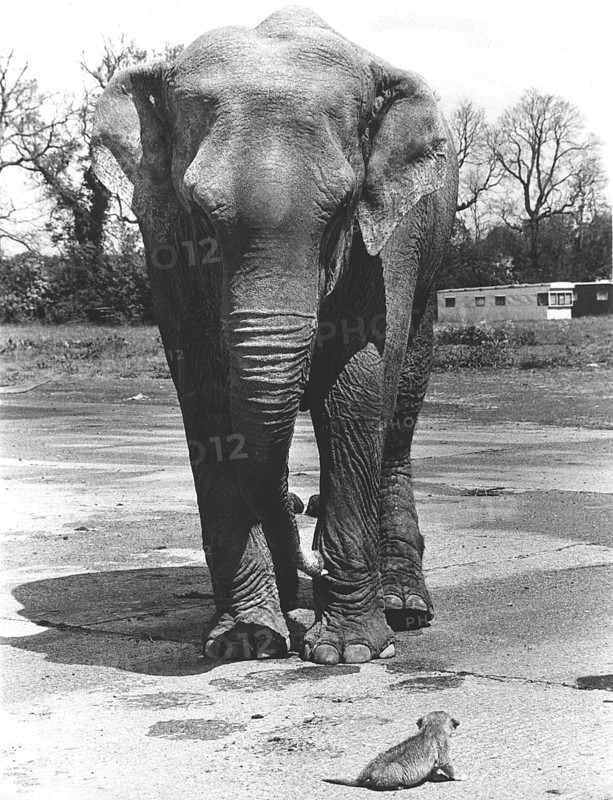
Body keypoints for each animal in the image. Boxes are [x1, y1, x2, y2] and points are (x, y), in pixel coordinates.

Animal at [92, 6, 458, 665]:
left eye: (340, 210)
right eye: (199, 213)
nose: (302, 507)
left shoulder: (386, 241)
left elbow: (357, 387)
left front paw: (349, 653)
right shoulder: (165, 238)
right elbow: (207, 391)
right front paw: (247, 641)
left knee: (399, 413)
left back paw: (402, 610)